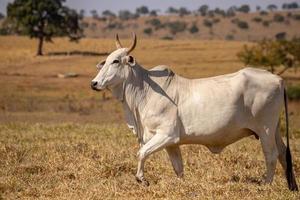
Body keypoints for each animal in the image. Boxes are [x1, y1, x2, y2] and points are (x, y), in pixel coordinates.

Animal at [91, 33, 298, 191]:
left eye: (116, 61)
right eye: (105, 61)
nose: (94, 83)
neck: (145, 91)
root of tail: (278, 79)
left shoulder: (167, 135)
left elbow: (141, 153)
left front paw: (142, 179)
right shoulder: (171, 144)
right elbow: (178, 168)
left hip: (265, 129)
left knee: (271, 155)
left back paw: (266, 184)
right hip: (274, 129)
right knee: (283, 153)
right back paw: (292, 186)